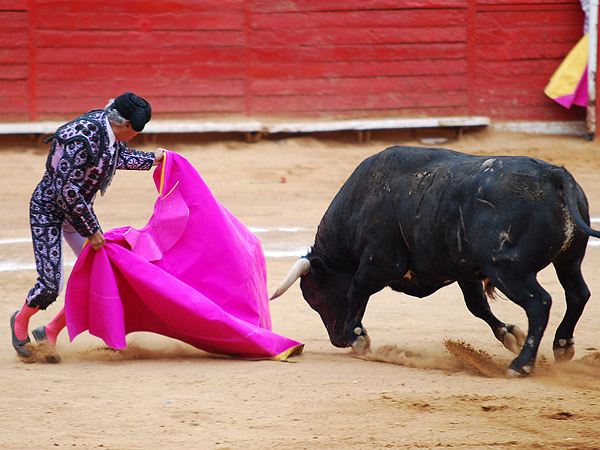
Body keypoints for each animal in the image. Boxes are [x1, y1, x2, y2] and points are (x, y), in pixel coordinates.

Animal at [272, 147, 600, 376]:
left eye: (314, 296)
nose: (337, 340)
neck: (361, 203)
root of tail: (555, 175)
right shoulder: (466, 269)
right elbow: (476, 306)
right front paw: (508, 333)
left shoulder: (380, 261)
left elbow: (356, 290)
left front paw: (359, 337)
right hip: (569, 260)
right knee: (577, 294)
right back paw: (562, 345)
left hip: (508, 269)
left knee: (539, 303)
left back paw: (520, 365)